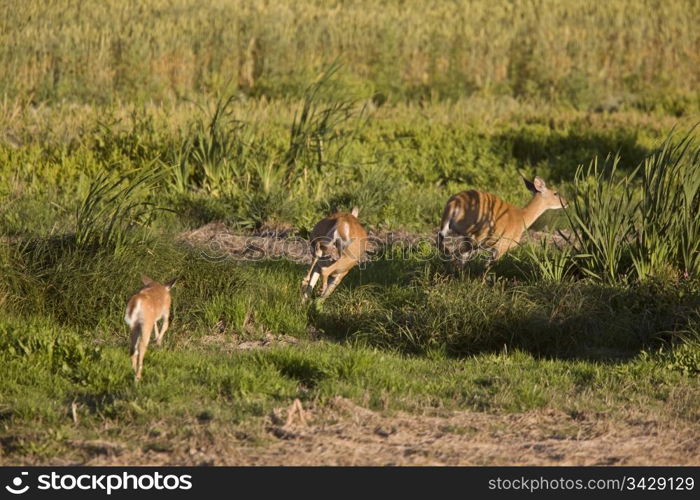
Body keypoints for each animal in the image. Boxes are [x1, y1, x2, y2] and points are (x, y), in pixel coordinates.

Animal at [438, 176, 568, 270]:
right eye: (556, 193)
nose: (566, 203)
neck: (522, 218)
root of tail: (454, 204)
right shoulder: (503, 245)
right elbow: (486, 268)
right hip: (476, 235)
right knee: (453, 254)